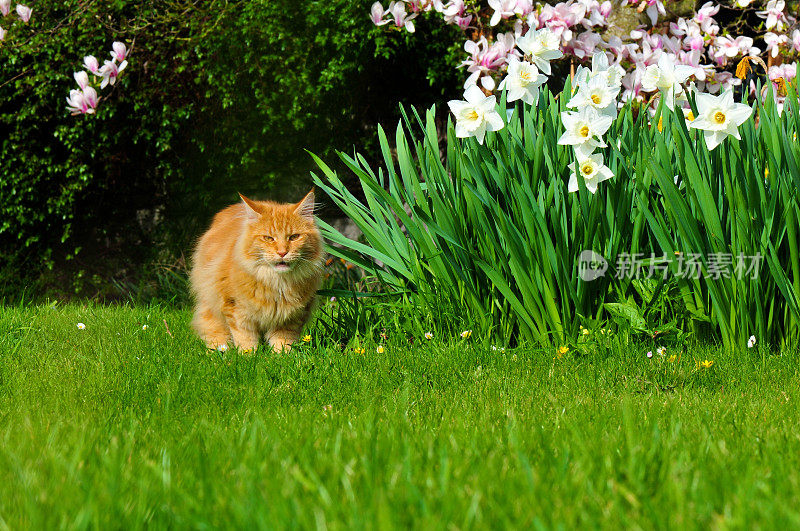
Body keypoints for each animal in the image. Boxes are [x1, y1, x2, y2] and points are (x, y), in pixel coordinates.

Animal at [189, 191, 324, 354]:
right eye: (268, 238)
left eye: (294, 237)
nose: (282, 252)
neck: (278, 283)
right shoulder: (236, 309)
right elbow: (245, 339)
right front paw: (248, 356)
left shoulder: (291, 317)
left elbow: (283, 342)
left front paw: (282, 356)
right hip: (210, 302)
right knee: (212, 329)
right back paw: (219, 351)